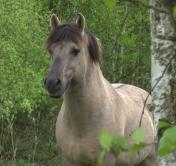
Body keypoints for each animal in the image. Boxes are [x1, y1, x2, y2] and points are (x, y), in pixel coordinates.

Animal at [44, 14, 156, 166]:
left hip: (152, 159)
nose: (52, 83)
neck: (82, 124)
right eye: (51, 50)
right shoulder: (68, 159)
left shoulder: (107, 159)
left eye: (75, 50)